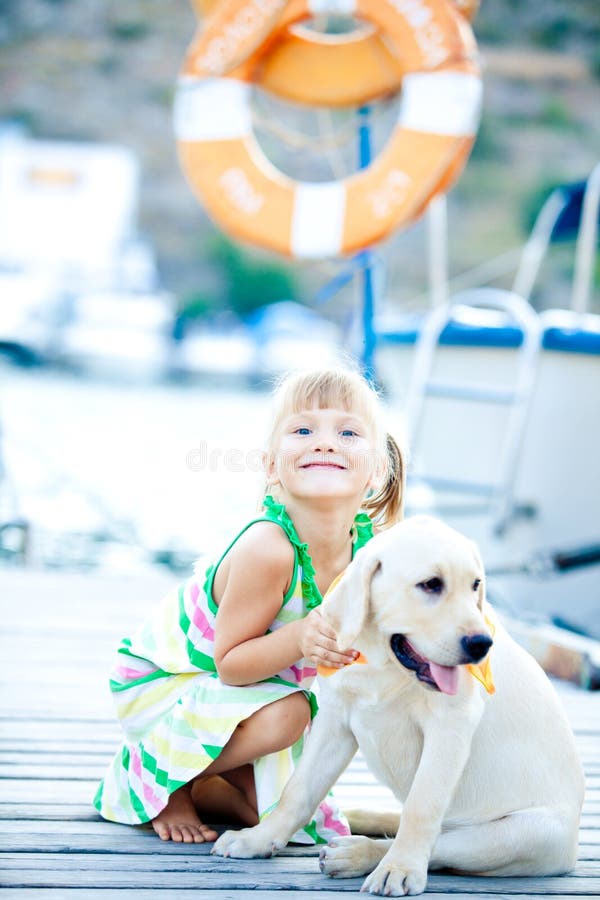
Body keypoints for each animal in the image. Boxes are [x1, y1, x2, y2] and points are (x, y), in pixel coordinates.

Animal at [213, 512, 584, 892]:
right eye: (431, 584)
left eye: (476, 585)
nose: (482, 644)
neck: (385, 664)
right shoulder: (335, 720)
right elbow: (298, 790)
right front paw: (258, 838)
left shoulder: (451, 726)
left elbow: (422, 807)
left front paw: (400, 868)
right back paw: (360, 818)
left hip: (527, 834)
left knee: (438, 840)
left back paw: (357, 854)